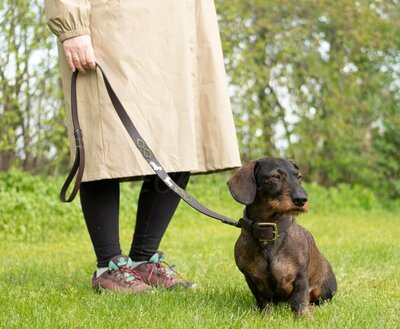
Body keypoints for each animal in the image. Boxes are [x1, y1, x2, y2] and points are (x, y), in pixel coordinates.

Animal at [227, 158, 336, 314]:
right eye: (275, 176)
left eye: (299, 176)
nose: (302, 199)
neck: (268, 232)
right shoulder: (250, 277)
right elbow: (263, 301)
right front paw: (265, 314)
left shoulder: (300, 277)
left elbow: (299, 300)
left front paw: (302, 316)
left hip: (324, 290)